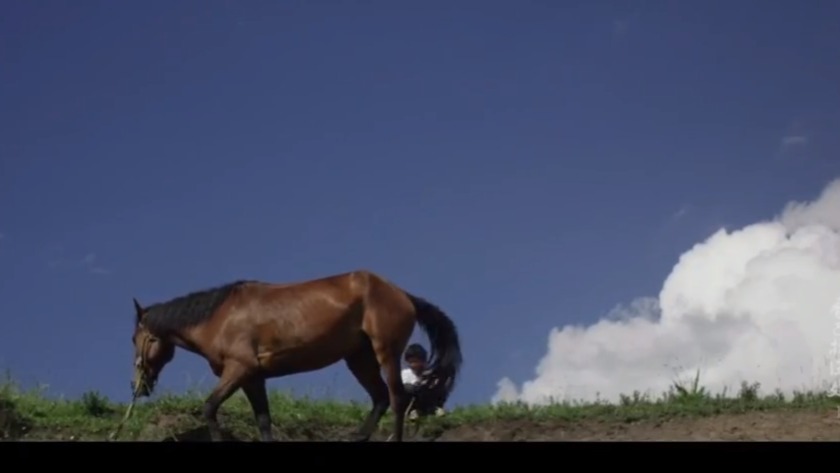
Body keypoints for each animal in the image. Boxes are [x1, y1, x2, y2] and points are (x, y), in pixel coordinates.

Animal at [128, 270, 462, 442]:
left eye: (135, 339)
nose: (137, 385)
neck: (219, 317)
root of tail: (403, 295)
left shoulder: (239, 369)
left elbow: (209, 408)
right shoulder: (253, 379)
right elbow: (264, 422)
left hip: (386, 352)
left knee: (397, 399)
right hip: (358, 358)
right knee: (380, 398)